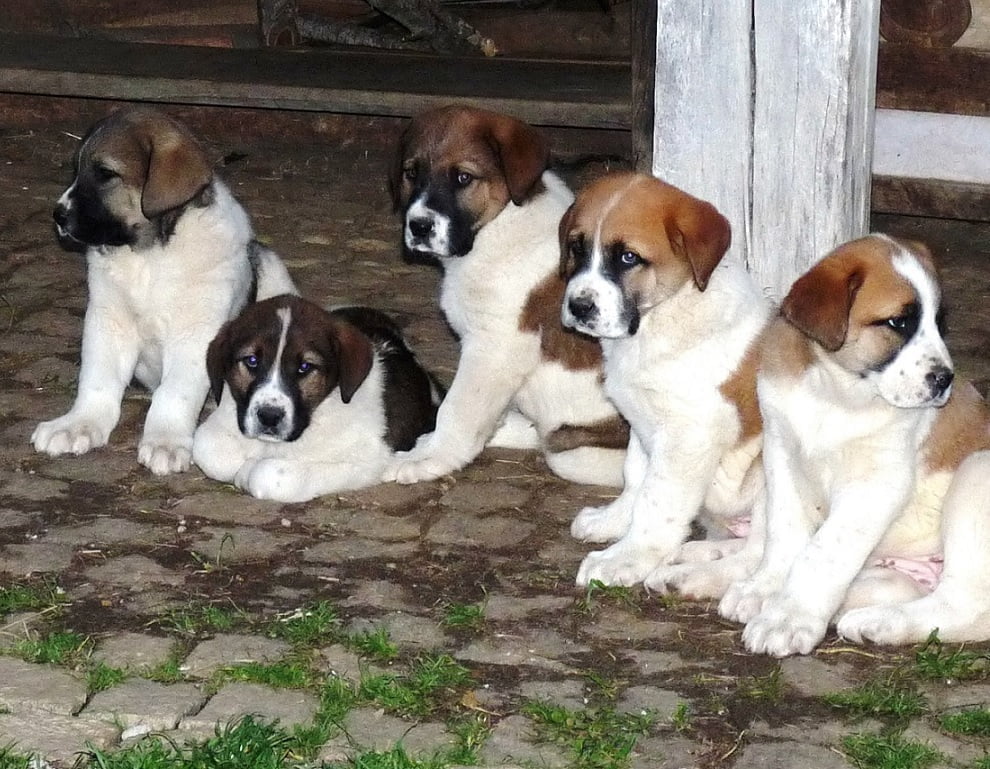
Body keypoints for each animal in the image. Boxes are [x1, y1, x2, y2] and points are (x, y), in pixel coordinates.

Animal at [31, 106, 294, 474]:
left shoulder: (195, 334)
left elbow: (174, 393)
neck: (148, 255)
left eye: (105, 174)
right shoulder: (108, 322)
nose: (57, 215)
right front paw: (79, 424)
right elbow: (96, 381)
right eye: (76, 169)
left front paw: (165, 441)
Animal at [194, 294, 442, 504]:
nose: (269, 417)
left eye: (305, 367)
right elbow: (208, 450)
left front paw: (248, 470)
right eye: (252, 361)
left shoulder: (365, 460)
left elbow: (268, 473)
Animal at [384, 103, 624, 486]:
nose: (419, 226)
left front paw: (431, 458)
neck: (496, 226)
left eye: (463, 178)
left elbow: (458, 408)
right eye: (411, 173)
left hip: (580, 453)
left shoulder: (493, 350)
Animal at [560, 170, 776, 588]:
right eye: (577, 247)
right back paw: (692, 554)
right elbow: (634, 478)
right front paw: (612, 521)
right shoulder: (642, 422)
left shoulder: (688, 437)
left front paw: (626, 558)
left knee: (760, 558)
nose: (578, 307)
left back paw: (690, 577)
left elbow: (657, 502)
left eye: (628, 257)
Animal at [720, 232, 990, 656]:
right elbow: (784, 534)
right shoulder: (784, 459)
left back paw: (880, 622)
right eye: (898, 322)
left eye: (939, 324)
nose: (944, 379)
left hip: (977, 470)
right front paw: (764, 590)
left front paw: (789, 617)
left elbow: (824, 552)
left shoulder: (875, 486)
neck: (835, 394)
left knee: (968, 604)